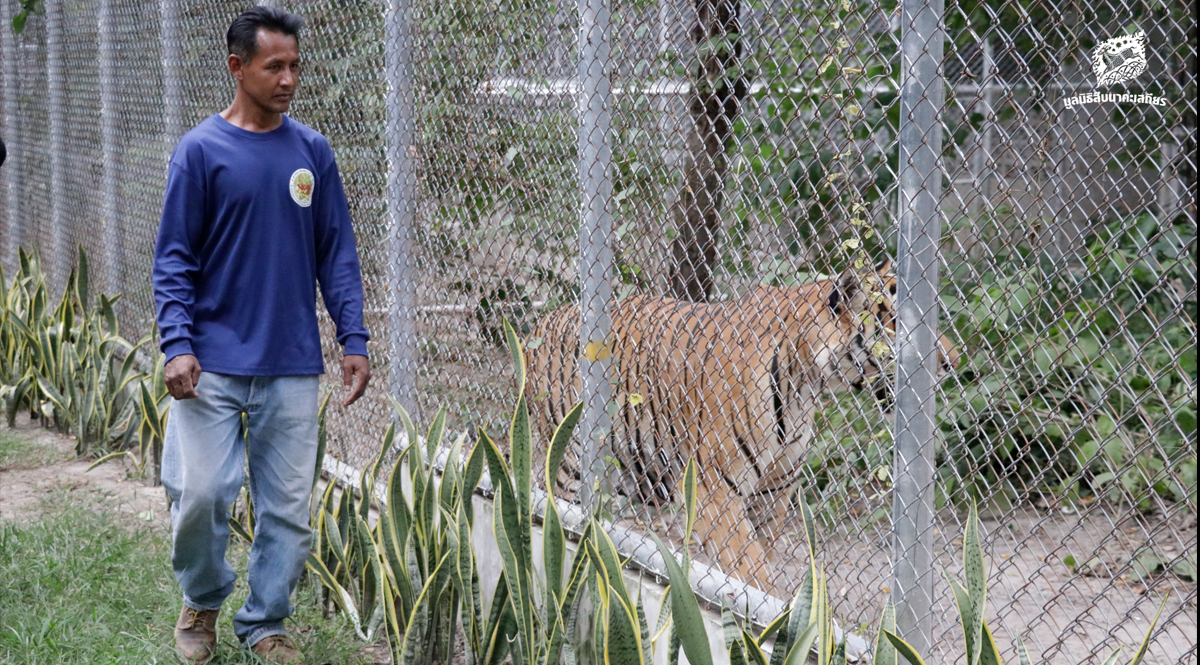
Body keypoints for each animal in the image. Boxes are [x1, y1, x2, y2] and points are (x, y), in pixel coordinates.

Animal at [520, 260, 960, 590]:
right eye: (899, 324)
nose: (954, 364)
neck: (807, 385)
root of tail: (545, 320)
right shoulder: (715, 490)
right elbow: (752, 569)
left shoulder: (774, 491)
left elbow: (761, 558)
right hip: (569, 461)